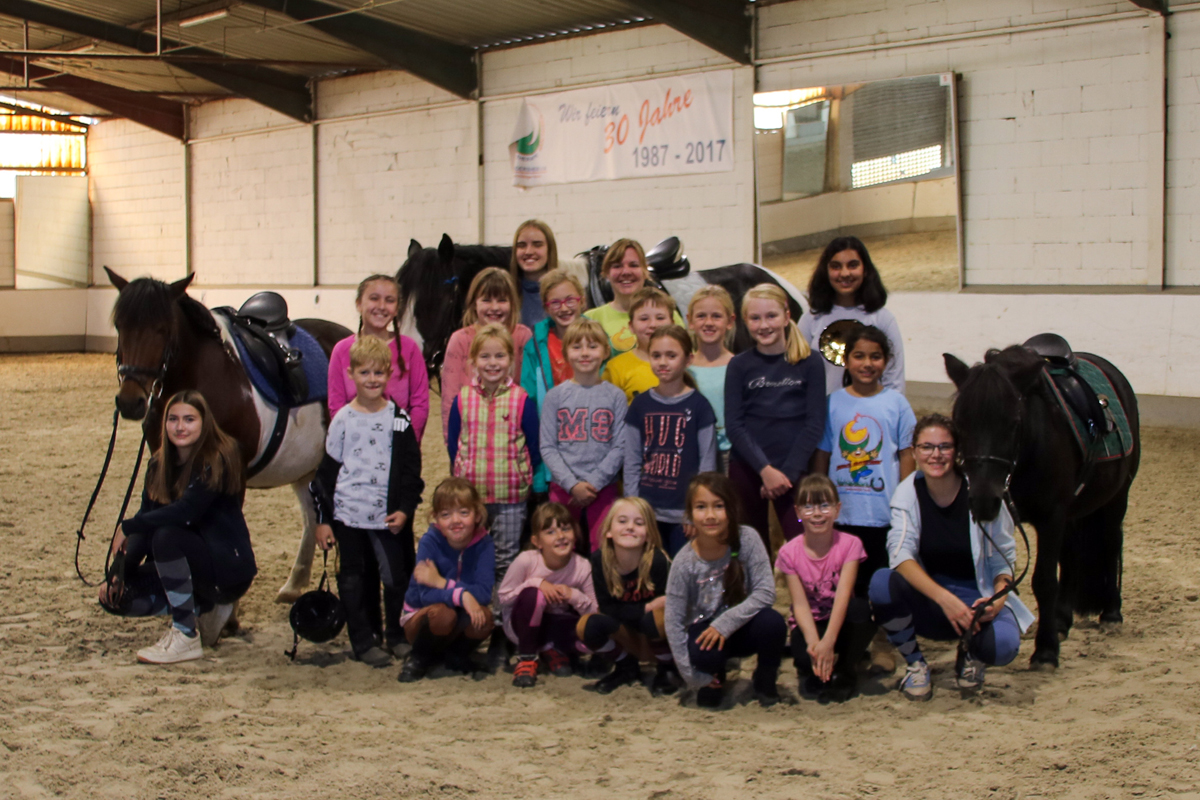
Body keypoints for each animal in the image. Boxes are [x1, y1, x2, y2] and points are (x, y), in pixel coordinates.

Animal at [105, 266, 350, 604]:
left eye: (162, 328)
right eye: (120, 325)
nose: (130, 401)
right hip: (305, 465)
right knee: (312, 517)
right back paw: (294, 584)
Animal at [940, 347, 1137, 666]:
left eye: (1013, 423)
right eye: (959, 423)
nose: (982, 500)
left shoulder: (1051, 517)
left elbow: (1044, 581)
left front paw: (1045, 651)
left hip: (1116, 498)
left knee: (1110, 543)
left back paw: (1111, 613)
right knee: (1071, 556)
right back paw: (1061, 620)